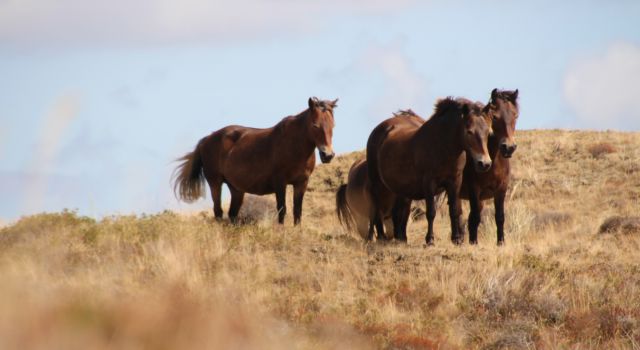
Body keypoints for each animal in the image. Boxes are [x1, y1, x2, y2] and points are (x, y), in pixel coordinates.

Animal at [172, 97, 338, 226]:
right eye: (315, 125)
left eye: (333, 125)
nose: (328, 155)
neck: (294, 146)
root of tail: (207, 139)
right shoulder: (280, 183)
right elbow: (282, 209)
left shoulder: (301, 183)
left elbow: (298, 211)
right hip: (215, 183)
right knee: (218, 211)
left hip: (236, 189)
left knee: (232, 214)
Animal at [364, 98, 496, 245]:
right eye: (469, 131)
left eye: (488, 132)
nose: (484, 163)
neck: (442, 146)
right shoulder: (429, 183)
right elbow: (431, 212)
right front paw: (430, 240)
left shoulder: (455, 181)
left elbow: (454, 210)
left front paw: (456, 238)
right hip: (377, 183)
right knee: (376, 208)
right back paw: (379, 237)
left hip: (399, 189)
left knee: (400, 211)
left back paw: (401, 238)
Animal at [460, 89, 520, 245]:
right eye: (495, 117)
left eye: (515, 115)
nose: (509, 147)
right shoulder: (474, 190)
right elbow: (475, 219)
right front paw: (474, 244)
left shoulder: (501, 190)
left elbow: (499, 217)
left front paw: (501, 243)